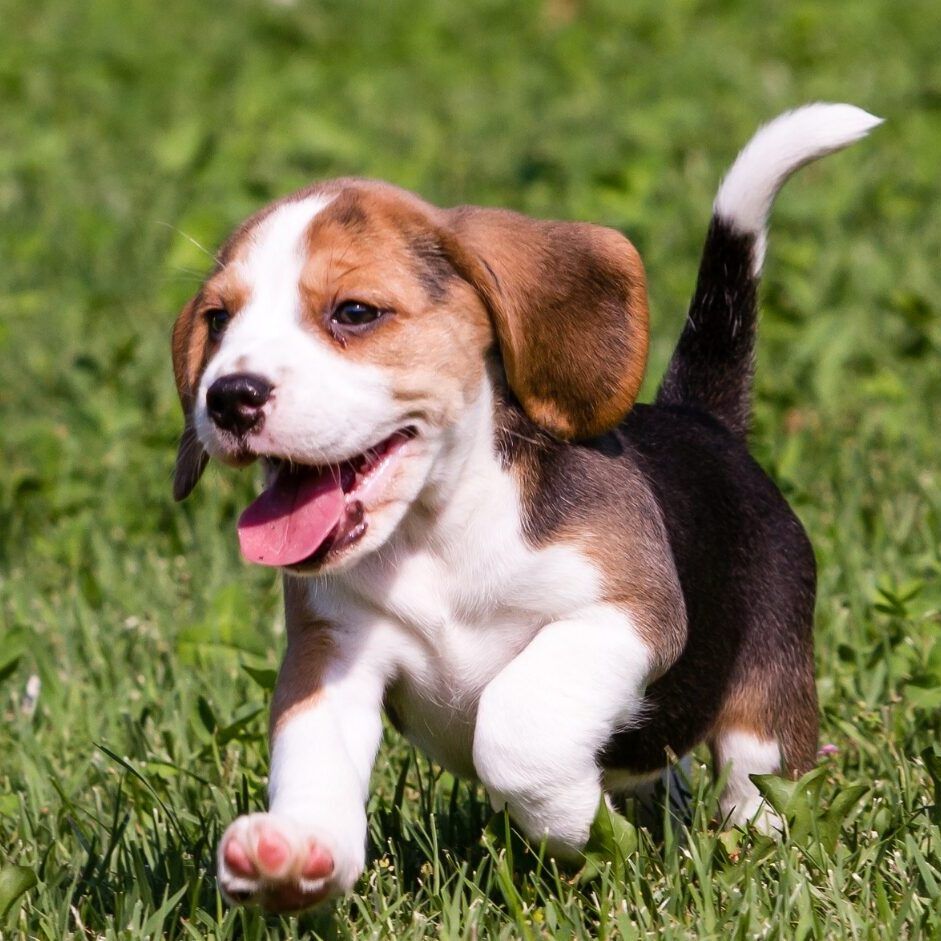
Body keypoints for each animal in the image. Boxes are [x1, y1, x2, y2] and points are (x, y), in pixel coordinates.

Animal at [169, 103, 880, 912]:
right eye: (218, 320)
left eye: (354, 312)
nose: (229, 397)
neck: (437, 531)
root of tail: (701, 420)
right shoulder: (333, 653)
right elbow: (313, 755)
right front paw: (293, 851)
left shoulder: (625, 611)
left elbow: (516, 727)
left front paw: (580, 826)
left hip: (765, 697)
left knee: (756, 783)